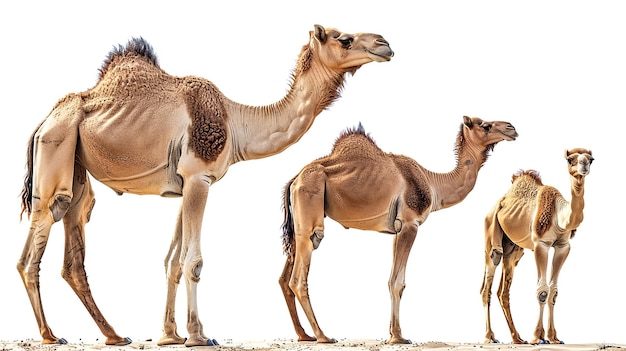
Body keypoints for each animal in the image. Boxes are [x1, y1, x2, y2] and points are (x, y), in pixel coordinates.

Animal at [18, 25, 390, 350]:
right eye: (344, 38)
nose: (384, 44)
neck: (236, 122)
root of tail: (44, 120)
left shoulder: (183, 186)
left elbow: (172, 260)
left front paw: (170, 335)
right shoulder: (199, 178)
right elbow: (193, 262)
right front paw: (198, 335)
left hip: (77, 168)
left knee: (74, 240)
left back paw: (114, 335)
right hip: (57, 145)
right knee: (39, 236)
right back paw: (51, 335)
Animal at [278, 117, 516, 346]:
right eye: (485, 126)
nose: (511, 128)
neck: (433, 183)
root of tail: (296, 178)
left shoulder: (396, 229)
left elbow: (394, 279)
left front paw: (393, 333)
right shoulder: (409, 224)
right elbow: (397, 282)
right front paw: (398, 337)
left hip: (297, 224)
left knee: (284, 278)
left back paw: (304, 335)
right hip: (310, 208)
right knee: (299, 276)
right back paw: (323, 336)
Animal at [480, 149, 592, 346]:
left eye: (591, 159)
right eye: (571, 159)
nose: (584, 165)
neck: (560, 217)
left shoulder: (563, 246)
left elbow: (554, 291)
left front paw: (554, 338)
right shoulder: (541, 245)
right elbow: (542, 291)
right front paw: (538, 337)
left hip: (514, 249)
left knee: (503, 290)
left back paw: (517, 338)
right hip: (491, 232)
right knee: (488, 281)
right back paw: (490, 337)